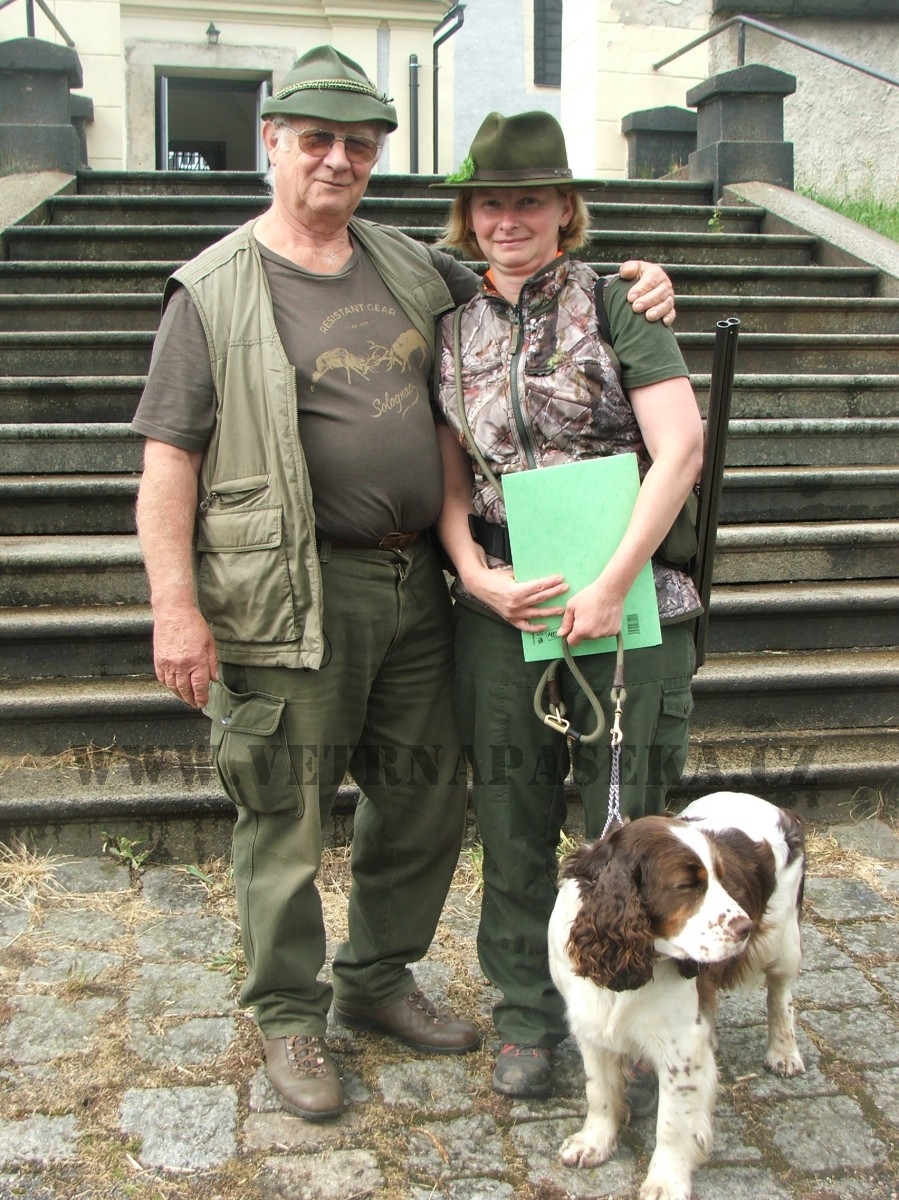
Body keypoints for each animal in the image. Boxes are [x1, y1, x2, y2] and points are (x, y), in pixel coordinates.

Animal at [548, 791, 805, 1200]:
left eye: (721, 878)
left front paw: (666, 1180)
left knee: (780, 994)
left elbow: (671, 1122)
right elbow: (599, 1090)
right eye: (686, 886)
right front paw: (594, 1143)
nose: (745, 926)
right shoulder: (591, 1025)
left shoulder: (680, 1045)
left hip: (783, 942)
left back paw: (783, 1053)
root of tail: (779, 808)